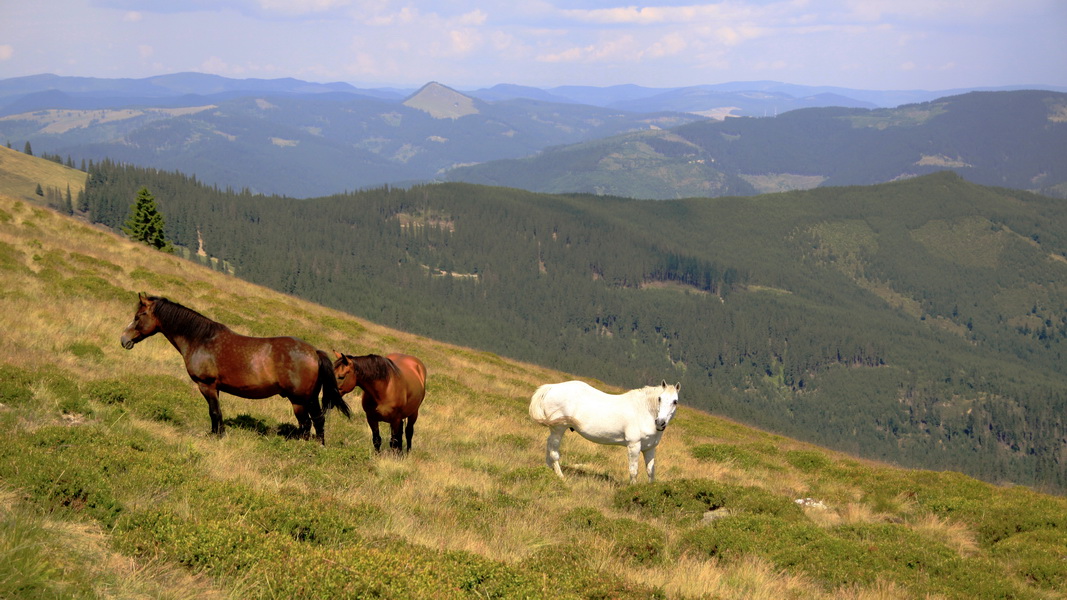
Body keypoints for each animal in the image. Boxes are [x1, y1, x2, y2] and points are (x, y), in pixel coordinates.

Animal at [120, 292, 349, 441]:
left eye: (138, 316)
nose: (124, 340)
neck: (201, 339)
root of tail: (314, 352)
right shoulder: (215, 388)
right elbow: (217, 411)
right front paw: (216, 433)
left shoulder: (206, 385)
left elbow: (214, 412)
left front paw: (216, 437)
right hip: (308, 398)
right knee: (316, 421)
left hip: (299, 400)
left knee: (308, 423)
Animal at [527, 380, 682, 482]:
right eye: (660, 398)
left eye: (675, 401)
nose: (660, 423)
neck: (643, 411)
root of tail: (552, 387)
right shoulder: (634, 445)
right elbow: (634, 470)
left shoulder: (649, 448)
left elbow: (650, 471)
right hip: (558, 429)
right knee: (554, 452)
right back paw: (560, 476)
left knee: (549, 446)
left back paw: (548, 470)